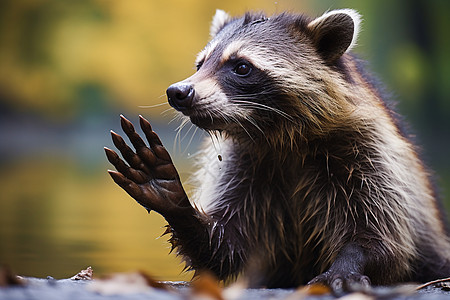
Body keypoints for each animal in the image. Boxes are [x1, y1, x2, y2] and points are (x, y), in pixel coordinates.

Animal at [105, 8, 450, 292]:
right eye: (201, 64)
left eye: (241, 66)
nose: (178, 92)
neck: (281, 138)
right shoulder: (243, 164)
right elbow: (227, 247)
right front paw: (177, 205)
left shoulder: (369, 151)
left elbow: (382, 235)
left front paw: (348, 262)